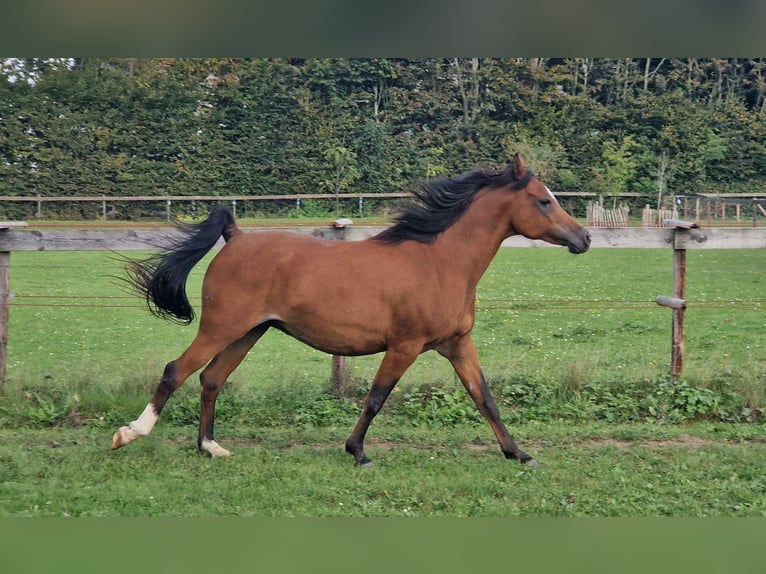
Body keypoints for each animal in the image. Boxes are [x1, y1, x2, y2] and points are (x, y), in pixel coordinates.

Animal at [112, 154, 592, 468]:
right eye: (543, 200)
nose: (584, 238)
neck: (440, 262)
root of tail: (235, 236)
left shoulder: (457, 344)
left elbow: (484, 397)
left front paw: (518, 453)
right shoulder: (405, 346)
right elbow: (377, 397)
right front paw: (357, 452)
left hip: (250, 332)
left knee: (212, 378)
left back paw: (210, 447)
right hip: (220, 327)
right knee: (176, 371)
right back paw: (129, 434)